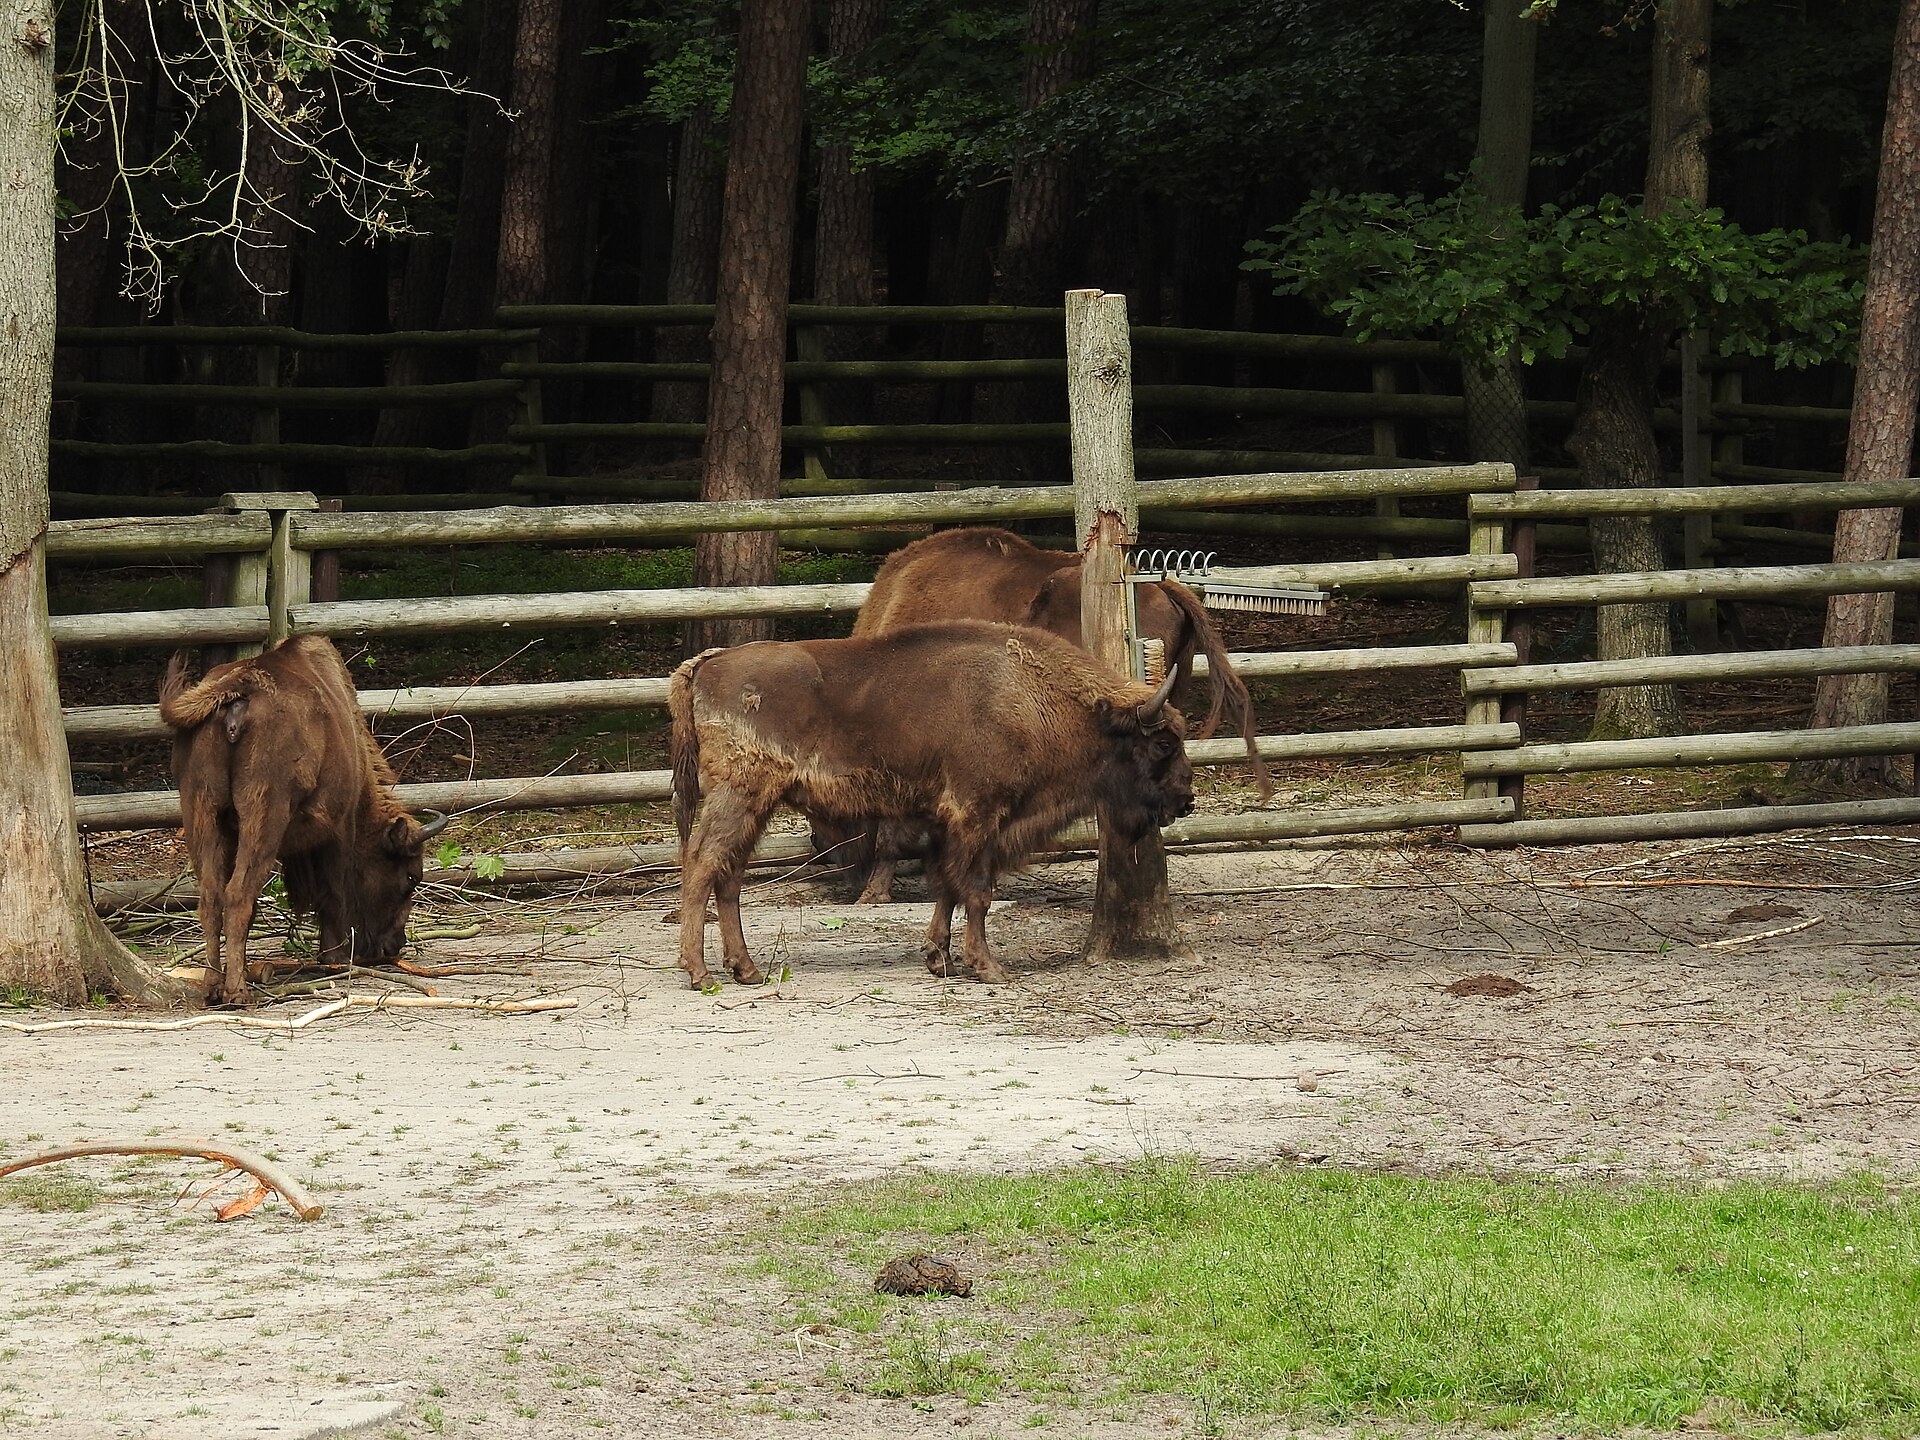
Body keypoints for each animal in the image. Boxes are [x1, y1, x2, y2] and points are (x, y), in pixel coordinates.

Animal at [160, 637, 447, 1005]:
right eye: (411, 877)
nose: (393, 946)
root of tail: (240, 686)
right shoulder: (339, 828)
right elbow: (335, 891)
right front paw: (334, 957)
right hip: (264, 814)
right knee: (238, 894)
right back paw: (238, 992)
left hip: (201, 810)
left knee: (211, 896)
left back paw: (213, 986)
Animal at [670, 621, 1193, 989]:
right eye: (1163, 743)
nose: (1185, 800)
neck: (1026, 695)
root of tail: (706, 663)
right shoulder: (980, 815)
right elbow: (977, 890)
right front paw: (988, 967)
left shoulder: (952, 824)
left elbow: (947, 887)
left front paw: (938, 958)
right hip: (741, 794)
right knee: (701, 863)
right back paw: (700, 974)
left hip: (755, 804)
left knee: (728, 873)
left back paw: (746, 970)